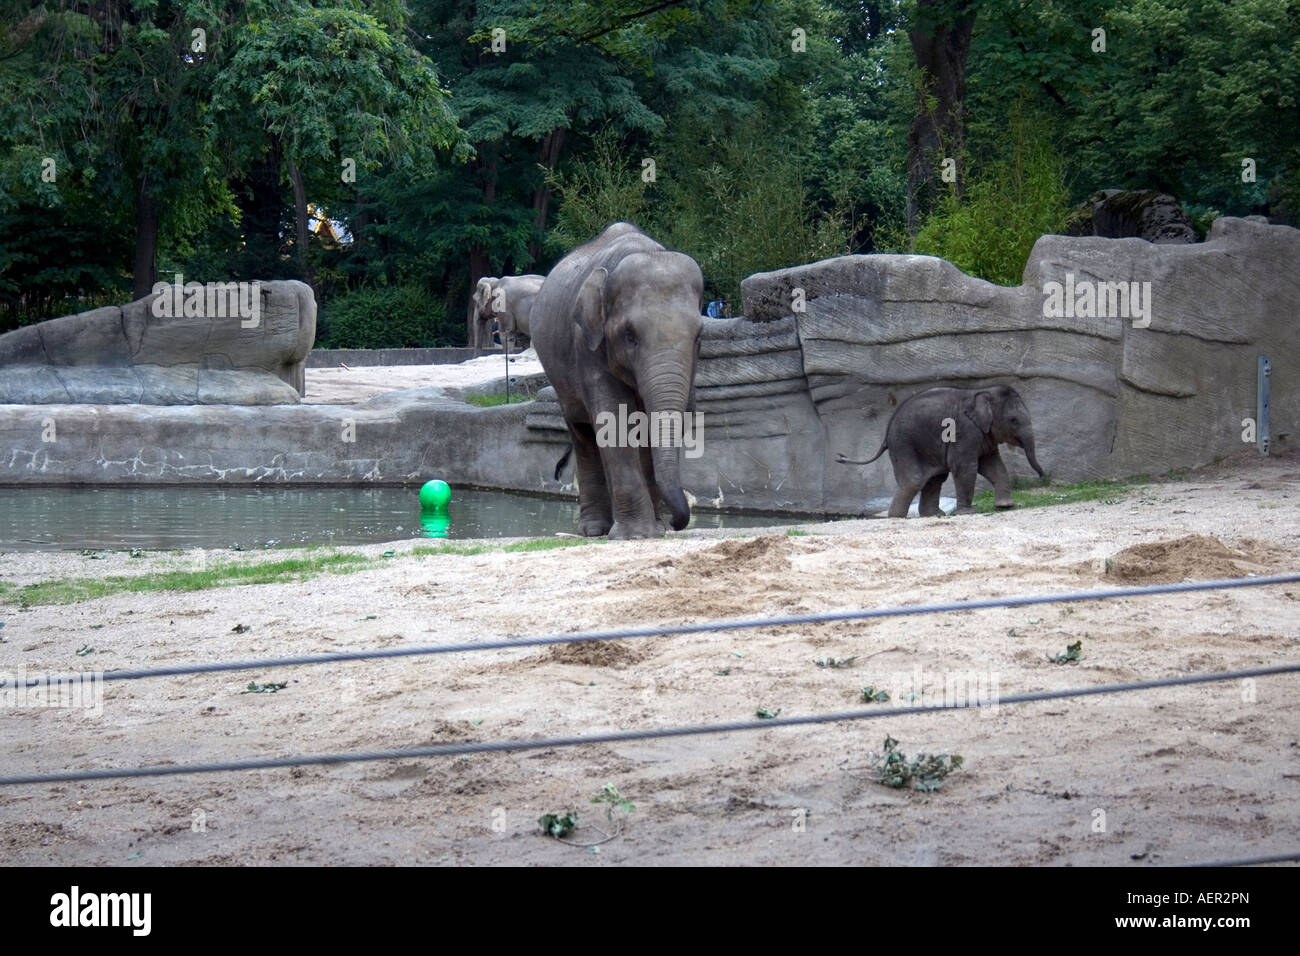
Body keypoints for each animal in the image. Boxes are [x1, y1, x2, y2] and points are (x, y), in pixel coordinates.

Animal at [525, 221, 702, 541]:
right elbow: (614, 421)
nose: (675, 523)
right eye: (630, 336)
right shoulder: (587, 345)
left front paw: (653, 530)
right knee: (583, 434)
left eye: (698, 337)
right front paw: (636, 535)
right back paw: (594, 529)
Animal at [842, 382, 1045, 520]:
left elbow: (993, 466)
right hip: (904, 444)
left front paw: (1005, 506)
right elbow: (966, 466)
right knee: (914, 480)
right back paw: (897, 517)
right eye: (1013, 420)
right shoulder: (965, 431)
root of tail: (886, 433)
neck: (983, 391)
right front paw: (969, 513)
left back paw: (934, 515)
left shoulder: (984, 435)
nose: (1043, 476)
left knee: (934, 479)